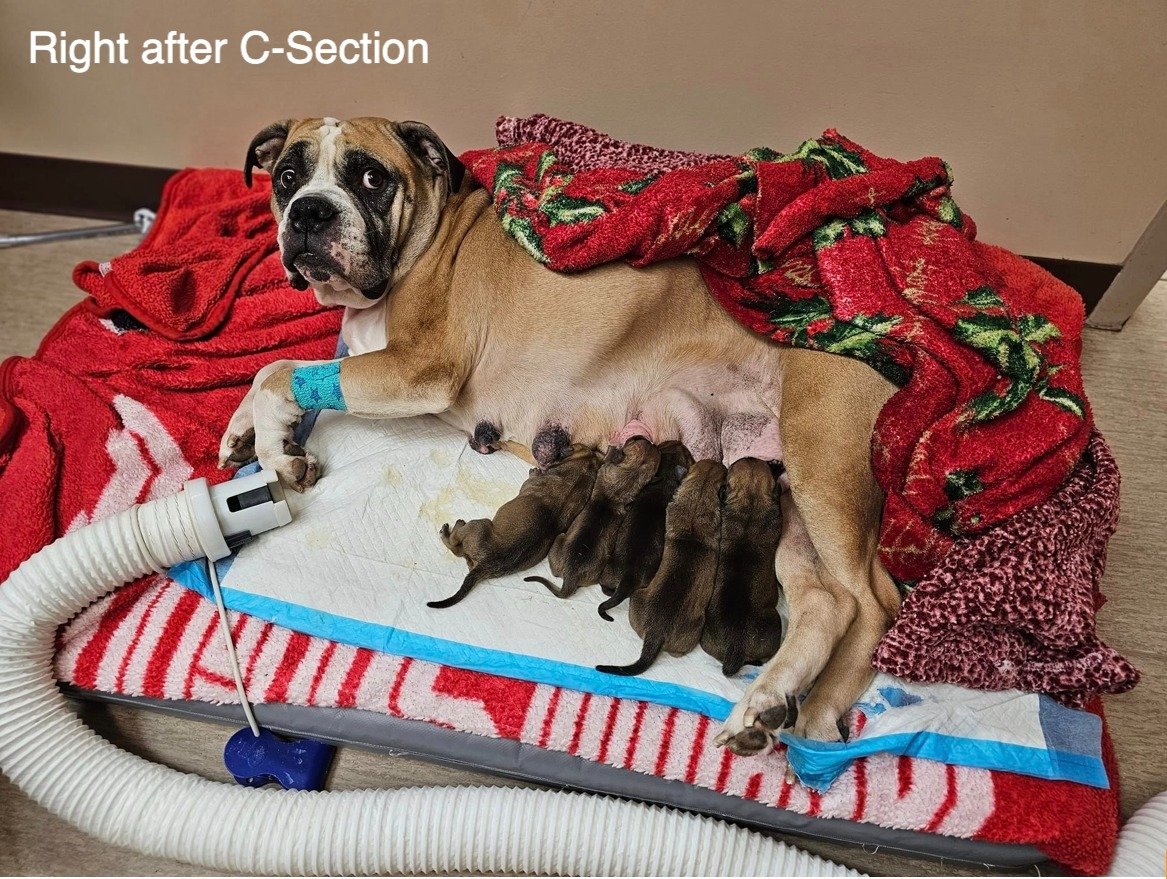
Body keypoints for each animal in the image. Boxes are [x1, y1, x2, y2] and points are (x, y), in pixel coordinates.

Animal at [429, 444, 600, 608]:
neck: (582, 470)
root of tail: (484, 564)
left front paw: (534, 472)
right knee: (458, 552)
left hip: (479, 524)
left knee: (453, 543)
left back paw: (449, 530)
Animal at [526, 436, 660, 598]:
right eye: (642, 440)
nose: (647, 439)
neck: (633, 472)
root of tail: (571, 574)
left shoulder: (606, 466)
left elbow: (607, 458)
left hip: (560, 539)